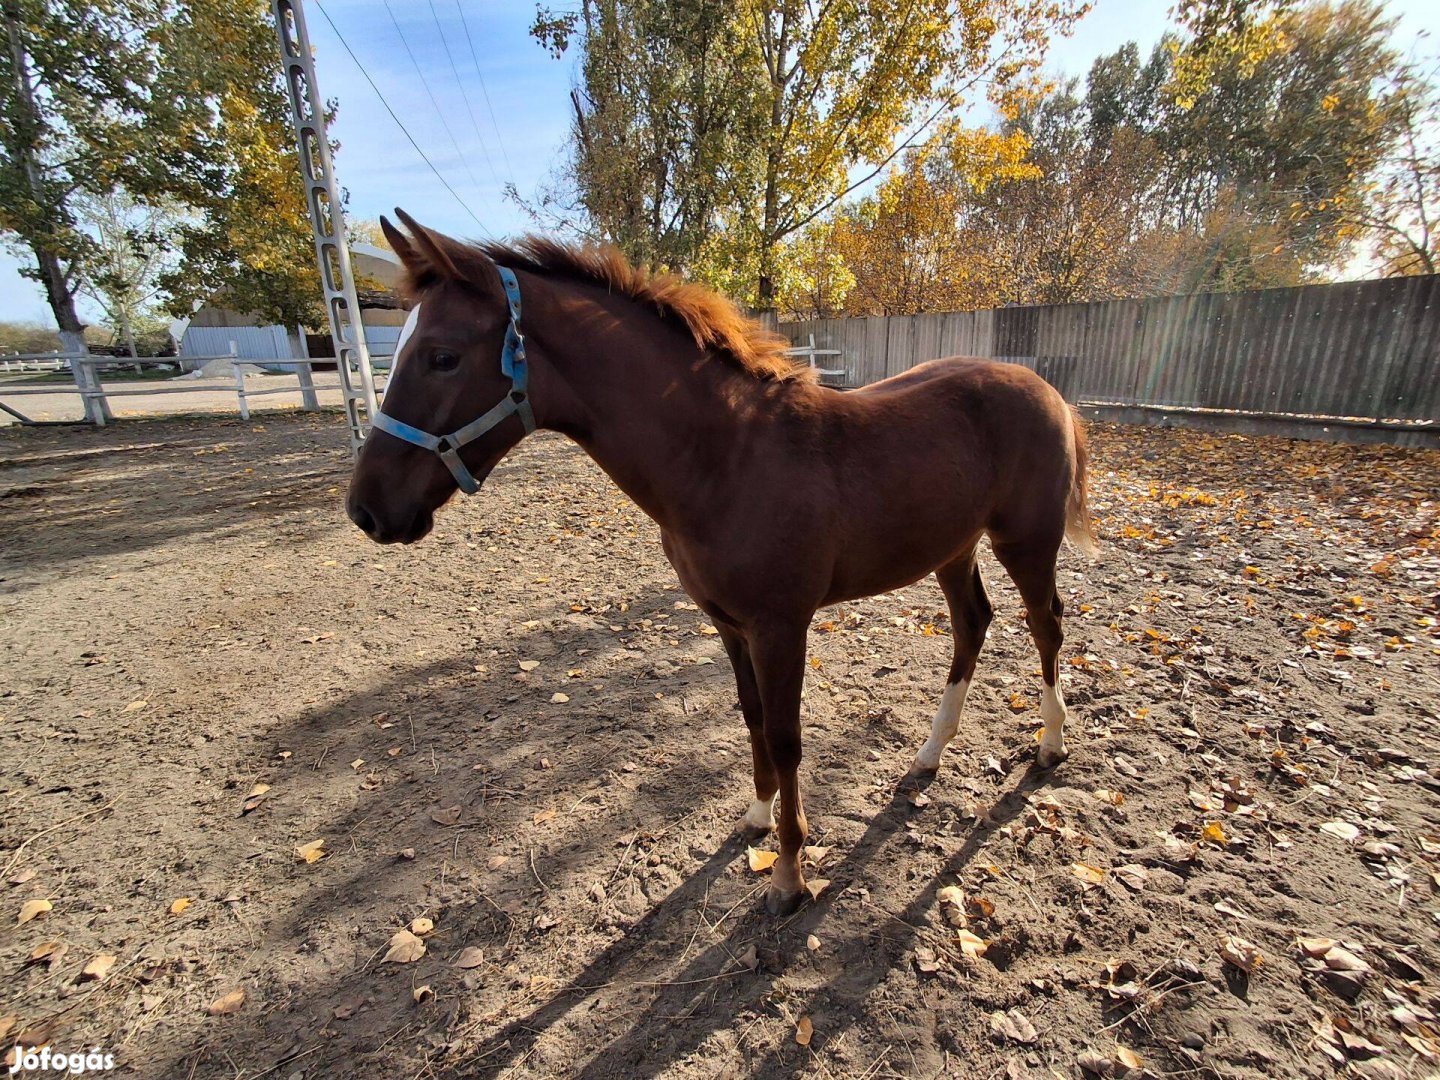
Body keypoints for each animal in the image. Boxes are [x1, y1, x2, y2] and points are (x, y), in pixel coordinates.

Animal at [345, 211, 1088, 915]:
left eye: (442, 356)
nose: (367, 510)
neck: (728, 458)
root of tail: (1047, 390)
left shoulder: (780, 628)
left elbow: (786, 738)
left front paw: (789, 878)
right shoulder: (729, 625)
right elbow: (752, 718)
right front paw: (756, 819)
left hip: (1025, 543)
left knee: (1046, 624)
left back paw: (1050, 744)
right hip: (953, 549)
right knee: (972, 625)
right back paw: (929, 755)